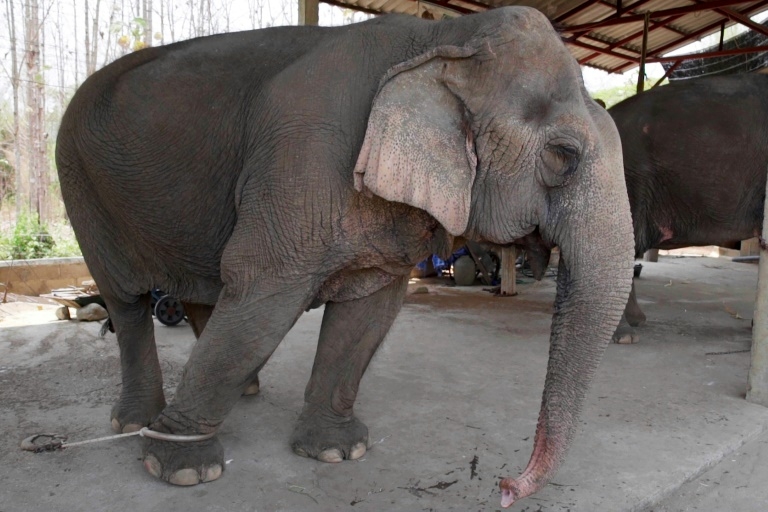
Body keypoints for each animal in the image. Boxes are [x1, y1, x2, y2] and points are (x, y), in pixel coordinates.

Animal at [55, 7, 634, 508]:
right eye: (563, 156)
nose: (506, 486)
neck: (444, 36)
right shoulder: (305, 155)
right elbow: (265, 291)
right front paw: (179, 470)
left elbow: (369, 308)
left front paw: (337, 451)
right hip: (79, 181)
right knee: (127, 302)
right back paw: (136, 422)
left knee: (205, 290)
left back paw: (243, 390)